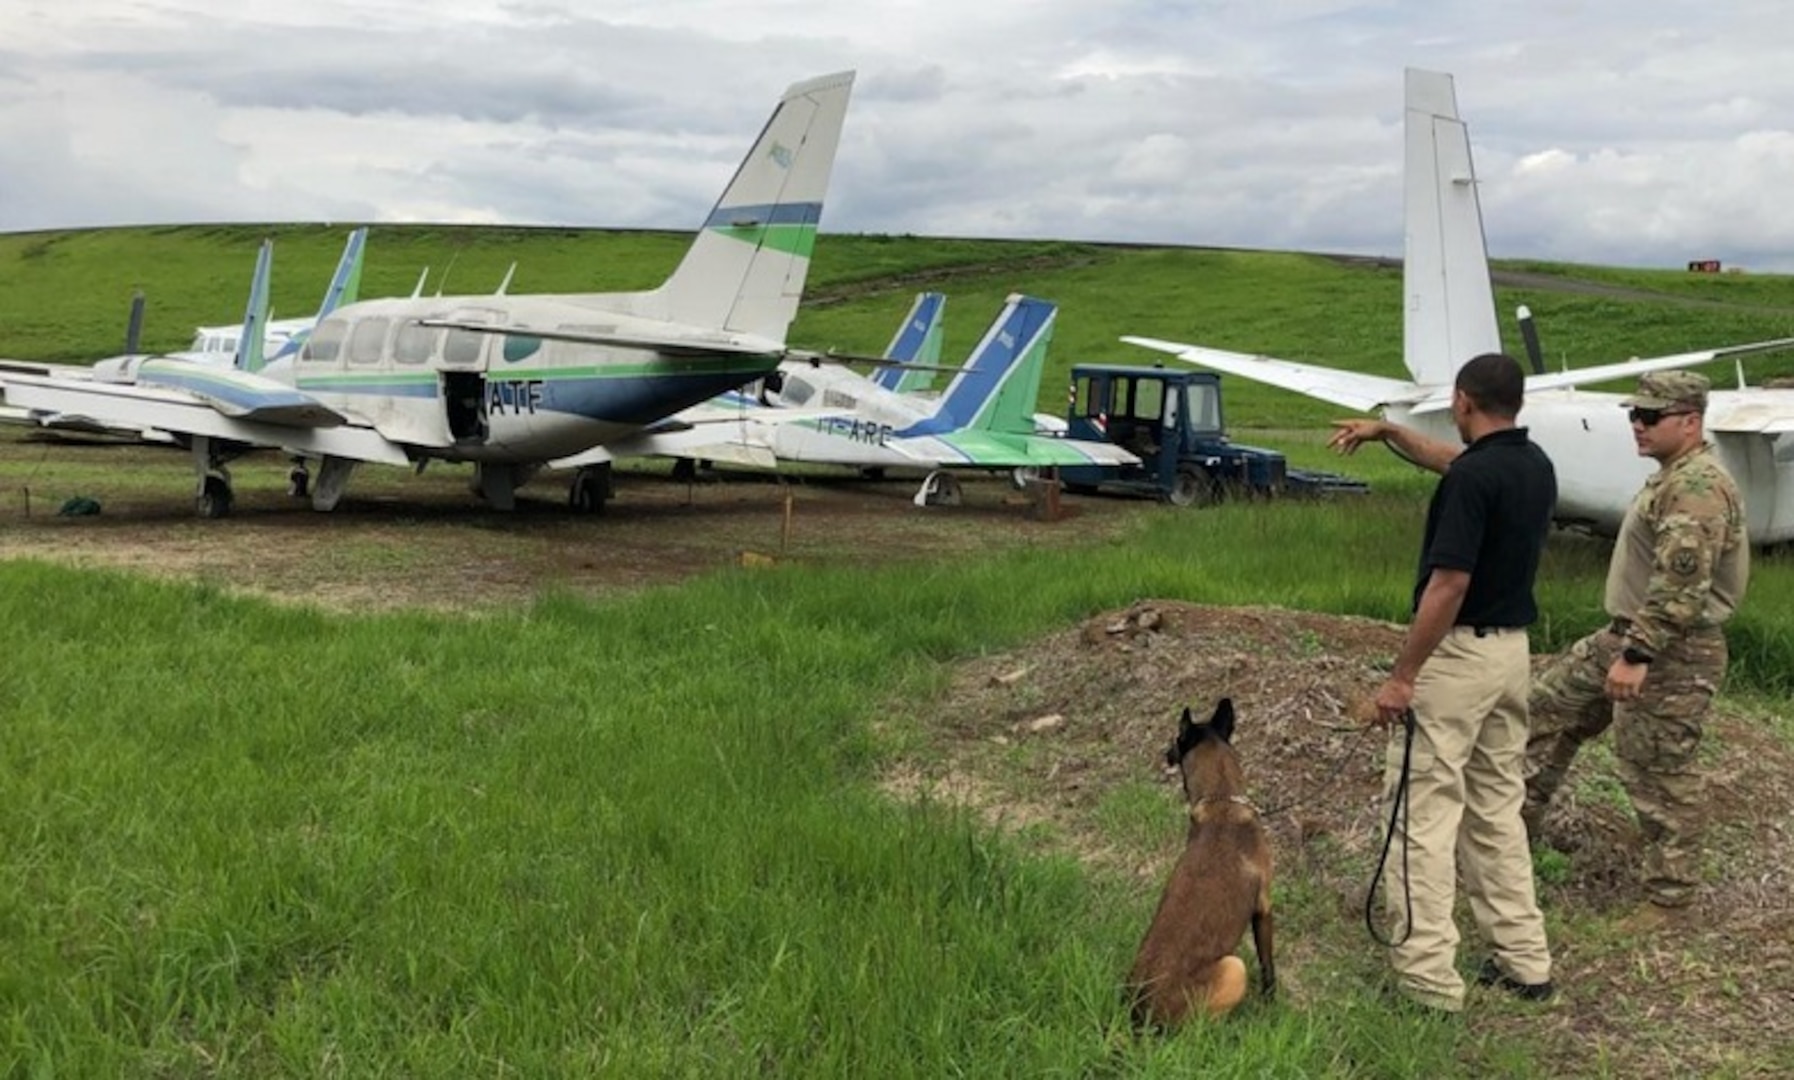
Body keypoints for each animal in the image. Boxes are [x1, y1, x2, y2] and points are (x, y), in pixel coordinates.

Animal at [1119, 692, 1277, 1019]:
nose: (1165, 752)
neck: (1222, 803)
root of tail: (1141, 1009)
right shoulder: (1264, 906)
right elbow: (1268, 965)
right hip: (1234, 968)